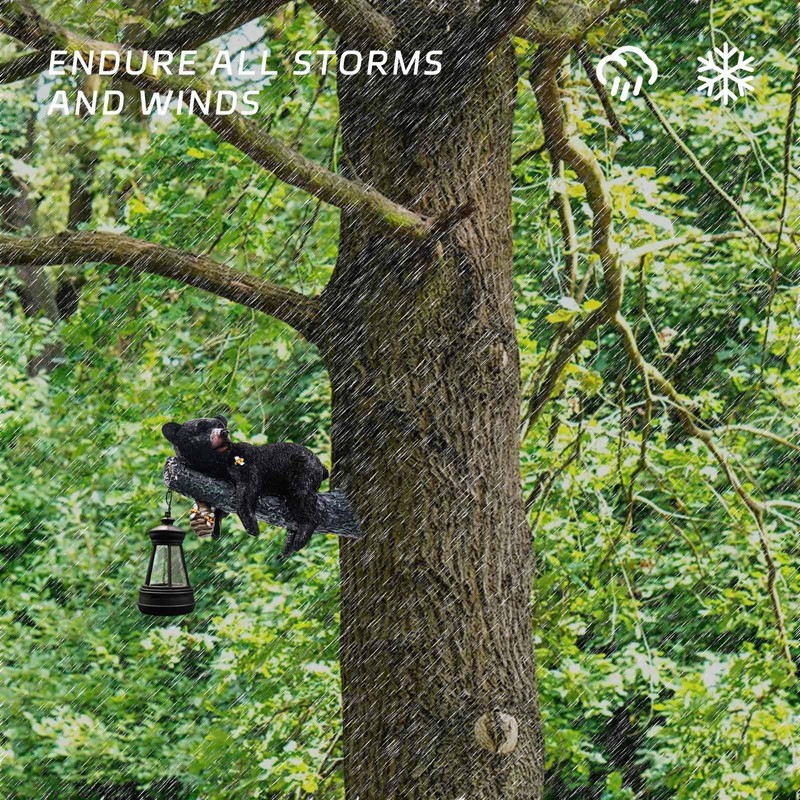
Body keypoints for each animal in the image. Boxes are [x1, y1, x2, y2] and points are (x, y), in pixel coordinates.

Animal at [162, 416, 329, 557]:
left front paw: (252, 526)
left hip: (302, 470)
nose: (224, 432)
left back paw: (300, 538)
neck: (217, 465)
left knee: (302, 497)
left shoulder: (245, 462)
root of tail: (321, 466)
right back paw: (288, 546)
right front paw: (212, 524)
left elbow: (248, 488)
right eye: (202, 429)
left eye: (220, 425)